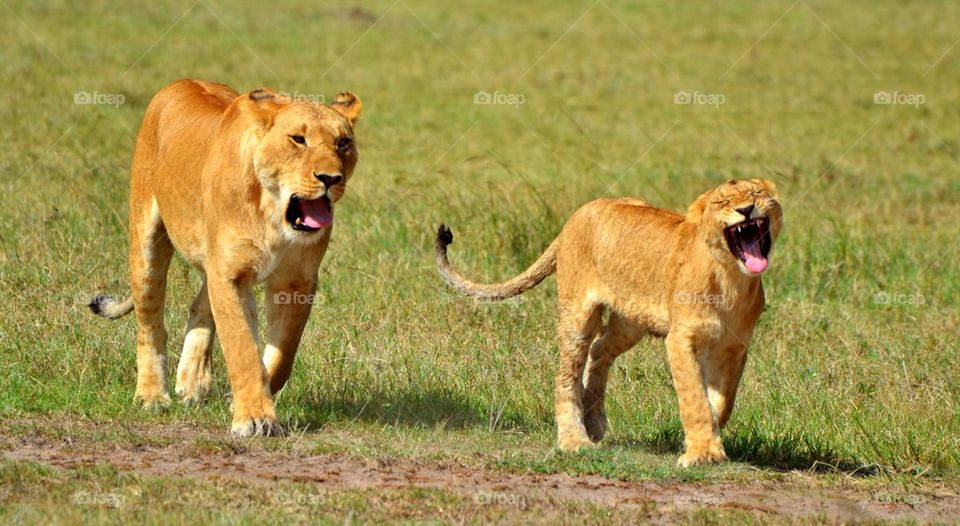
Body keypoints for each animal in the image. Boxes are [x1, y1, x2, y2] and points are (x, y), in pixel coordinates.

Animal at [89, 79, 362, 437]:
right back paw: (152, 395)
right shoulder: (231, 274)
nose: (330, 179)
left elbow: (282, 355)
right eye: (298, 139)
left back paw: (191, 381)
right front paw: (255, 417)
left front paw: (242, 400)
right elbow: (241, 346)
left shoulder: (297, 282)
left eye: (343, 143)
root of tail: (181, 81)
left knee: (200, 306)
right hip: (146, 241)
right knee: (150, 324)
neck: (273, 213)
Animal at [435, 179, 782, 466]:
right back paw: (575, 440)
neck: (732, 279)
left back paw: (594, 422)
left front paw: (708, 441)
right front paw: (700, 454)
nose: (745, 210)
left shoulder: (734, 347)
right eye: (722, 202)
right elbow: (694, 397)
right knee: (567, 372)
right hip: (578, 314)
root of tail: (576, 216)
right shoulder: (682, 339)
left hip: (631, 322)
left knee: (599, 349)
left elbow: (722, 401)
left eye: (757, 193)